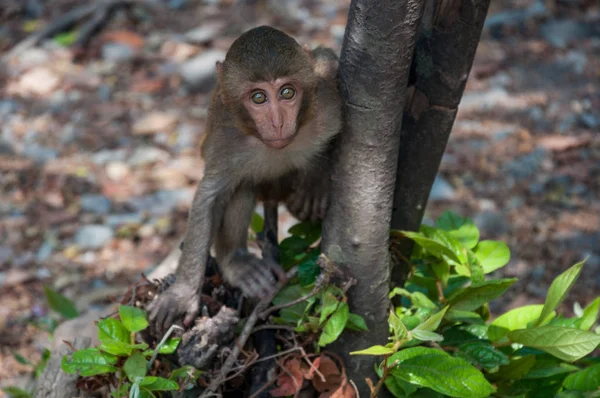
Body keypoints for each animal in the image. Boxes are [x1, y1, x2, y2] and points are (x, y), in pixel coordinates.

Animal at [150, 25, 342, 332]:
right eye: (259, 98)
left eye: (287, 92)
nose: (278, 122)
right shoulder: (227, 140)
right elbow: (210, 197)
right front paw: (181, 294)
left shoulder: (325, 96)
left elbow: (326, 60)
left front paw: (315, 181)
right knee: (242, 188)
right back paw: (237, 262)